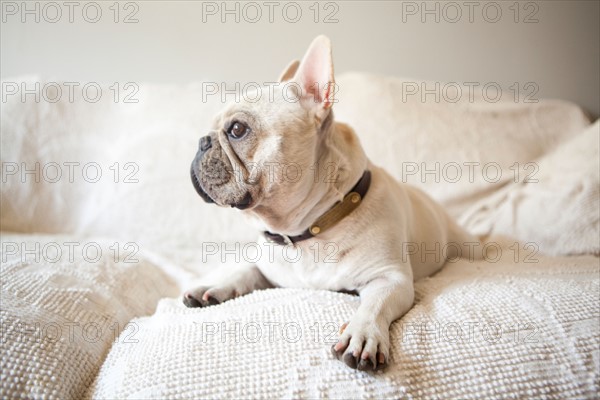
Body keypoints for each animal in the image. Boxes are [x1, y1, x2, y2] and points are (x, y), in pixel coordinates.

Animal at [185, 36, 480, 370]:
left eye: (237, 129)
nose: (202, 141)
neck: (305, 231)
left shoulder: (391, 279)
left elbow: (374, 306)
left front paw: (363, 334)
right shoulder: (267, 265)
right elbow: (243, 271)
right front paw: (213, 285)